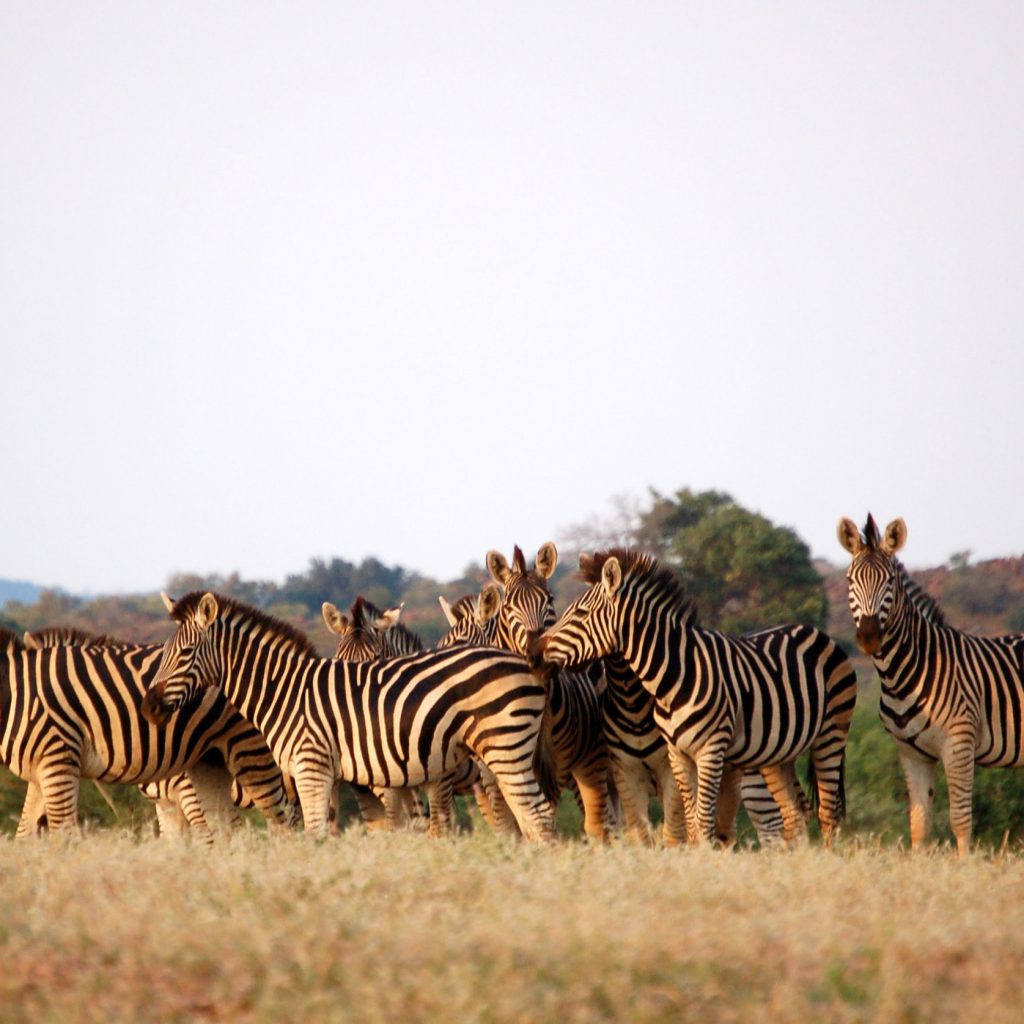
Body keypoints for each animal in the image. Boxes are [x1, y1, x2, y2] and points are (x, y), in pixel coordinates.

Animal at [141, 593, 557, 839]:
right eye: (165, 652)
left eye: (185, 652)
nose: (149, 707)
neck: (284, 690)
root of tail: (523, 663)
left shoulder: (312, 770)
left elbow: (317, 836)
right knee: (528, 816)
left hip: (502, 750)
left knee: (536, 815)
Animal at [528, 552, 856, 847]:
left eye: (580, 614)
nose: (534, 654)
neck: (673, 678)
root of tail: (815, 631)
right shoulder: (675, 754)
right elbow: (688, 822)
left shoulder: (709, 750)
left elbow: (699, 822)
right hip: (778, 754)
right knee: (795, 815)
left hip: (830, 735)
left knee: (827, 814)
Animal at [835, 512, 1024, 856]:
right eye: (849, 581)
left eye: (890, 582)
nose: (869, 636)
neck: (901, 675)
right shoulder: (912, 754)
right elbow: (919, 824)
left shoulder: (958, 744)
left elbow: (960, 820)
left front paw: (965, 867)